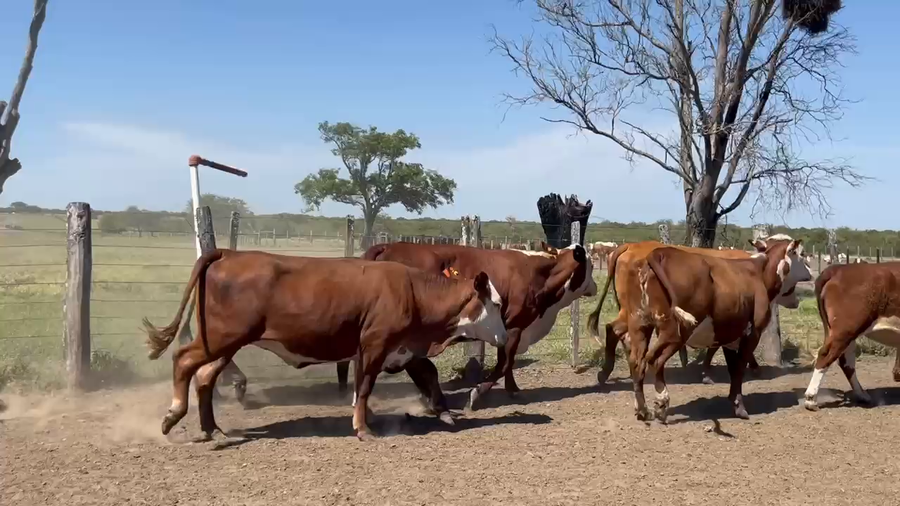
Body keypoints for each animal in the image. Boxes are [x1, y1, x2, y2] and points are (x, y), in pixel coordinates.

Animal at [141, 249, 507, 441]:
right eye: (496, 303)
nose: (504, 336)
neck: (413, 292)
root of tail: (228, 253)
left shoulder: (400, 349)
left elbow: (423, 374)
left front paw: (442, 412)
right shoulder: (375, 346)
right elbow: (365, 387)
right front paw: (363, 428)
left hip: (226, 343)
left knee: (204, 377)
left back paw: (212, 429)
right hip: (222, 337)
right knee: (183, 360)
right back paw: (173, 415)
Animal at [334, 241, 597, 411]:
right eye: (591, 265)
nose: (594, 286)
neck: (538, 273)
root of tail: (387, 246)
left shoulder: (510, 329)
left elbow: (507, 362)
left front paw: (512, 389)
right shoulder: (514, 327)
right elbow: (504, 363)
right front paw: (477, 393)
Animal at [588, 235, 811, 386]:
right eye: (801, 254)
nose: (810, 273)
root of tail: (631, 246)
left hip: (634, 314)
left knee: (614, 331)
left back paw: (607, 372)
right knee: (615, 331)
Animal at [626, 237, 807, 422]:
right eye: (802, 253)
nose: (810, 272)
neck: (760, 273)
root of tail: (660, 253)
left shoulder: (729, 335)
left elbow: (733, 369)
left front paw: (733, 400)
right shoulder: (753, 333)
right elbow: (739, 368)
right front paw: (740, 408)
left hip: (641, 324)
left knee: (637, 361)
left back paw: (642, 410)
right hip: (675, 332)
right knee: (655, 361)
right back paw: (661, 403)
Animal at [802, 261, 900, 410]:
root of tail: (839, 268)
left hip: (844, 332)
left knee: (846, 363)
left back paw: (862, 395)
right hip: (846, 329)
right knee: (826, 355)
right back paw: (811, 399)